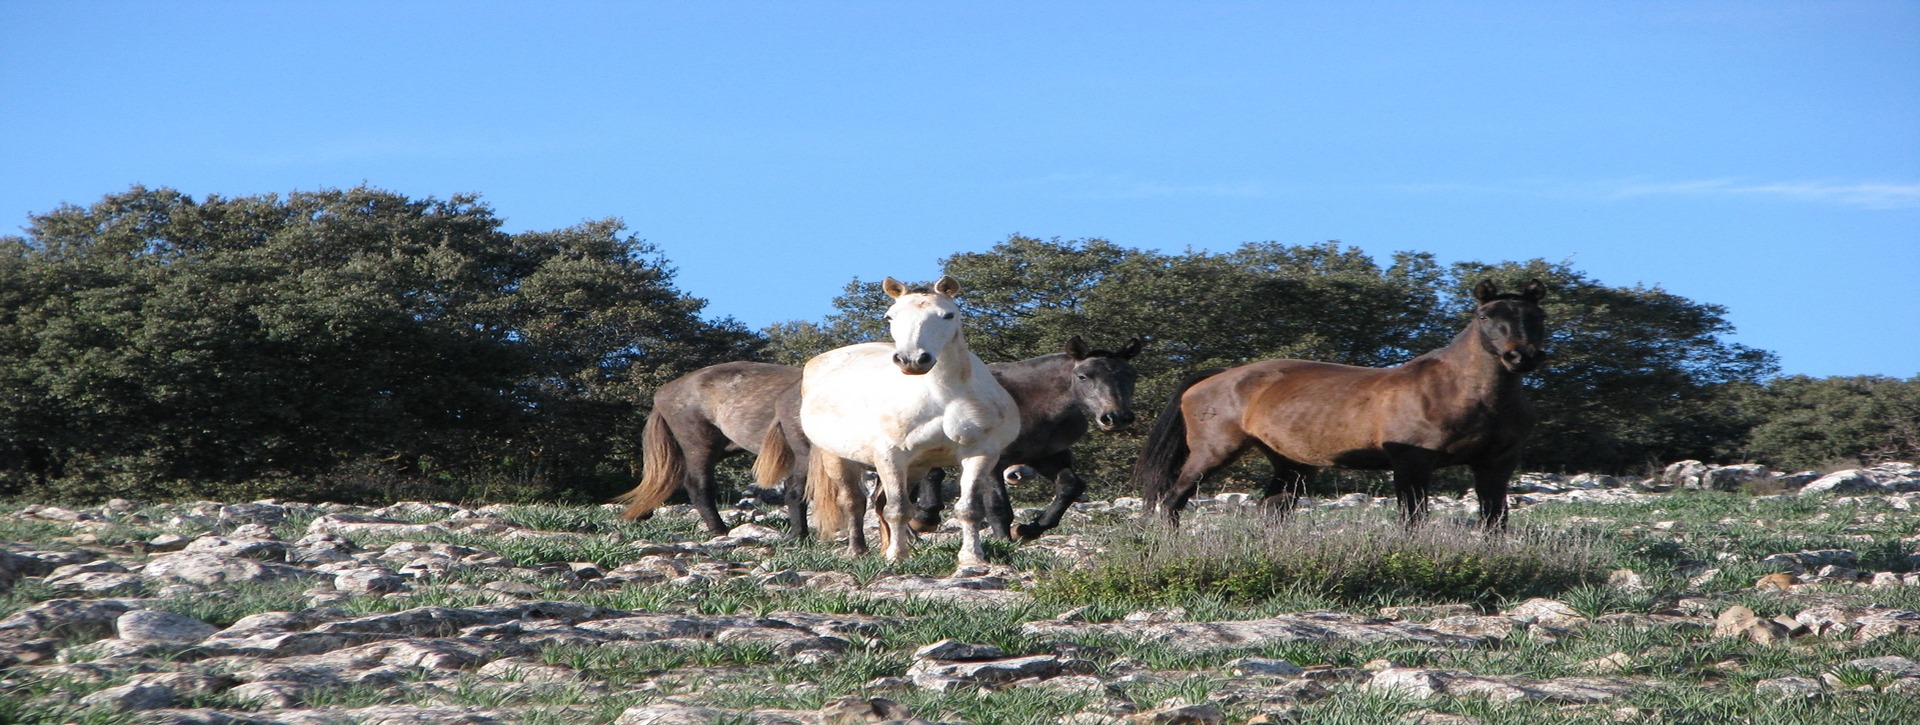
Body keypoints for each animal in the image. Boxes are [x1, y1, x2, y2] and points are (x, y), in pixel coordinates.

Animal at [802, 274, 1029, 563]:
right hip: (837, 458)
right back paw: (858, 551)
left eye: (948, 315)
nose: (912, 360)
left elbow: (969, 509)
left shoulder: (979, 453)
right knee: (854, 502)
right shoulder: (890, 455)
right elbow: (897, 509)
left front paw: (971, 557)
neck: (942, 395)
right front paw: (897, 556)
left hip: (916, 466)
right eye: (890, 316)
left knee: (879, 503)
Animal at [1128, 280, 1551, 529]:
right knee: (1174, 498)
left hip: (1292, 464)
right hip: (1213, 452)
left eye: (1537, 316)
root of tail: (1211, 379)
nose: (1522, 357)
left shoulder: (1496, 464)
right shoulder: (1412, 463)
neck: (1466, 392)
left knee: (1272, 509)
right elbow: (1412, 518)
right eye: (1485, 315)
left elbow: (1495, 518)